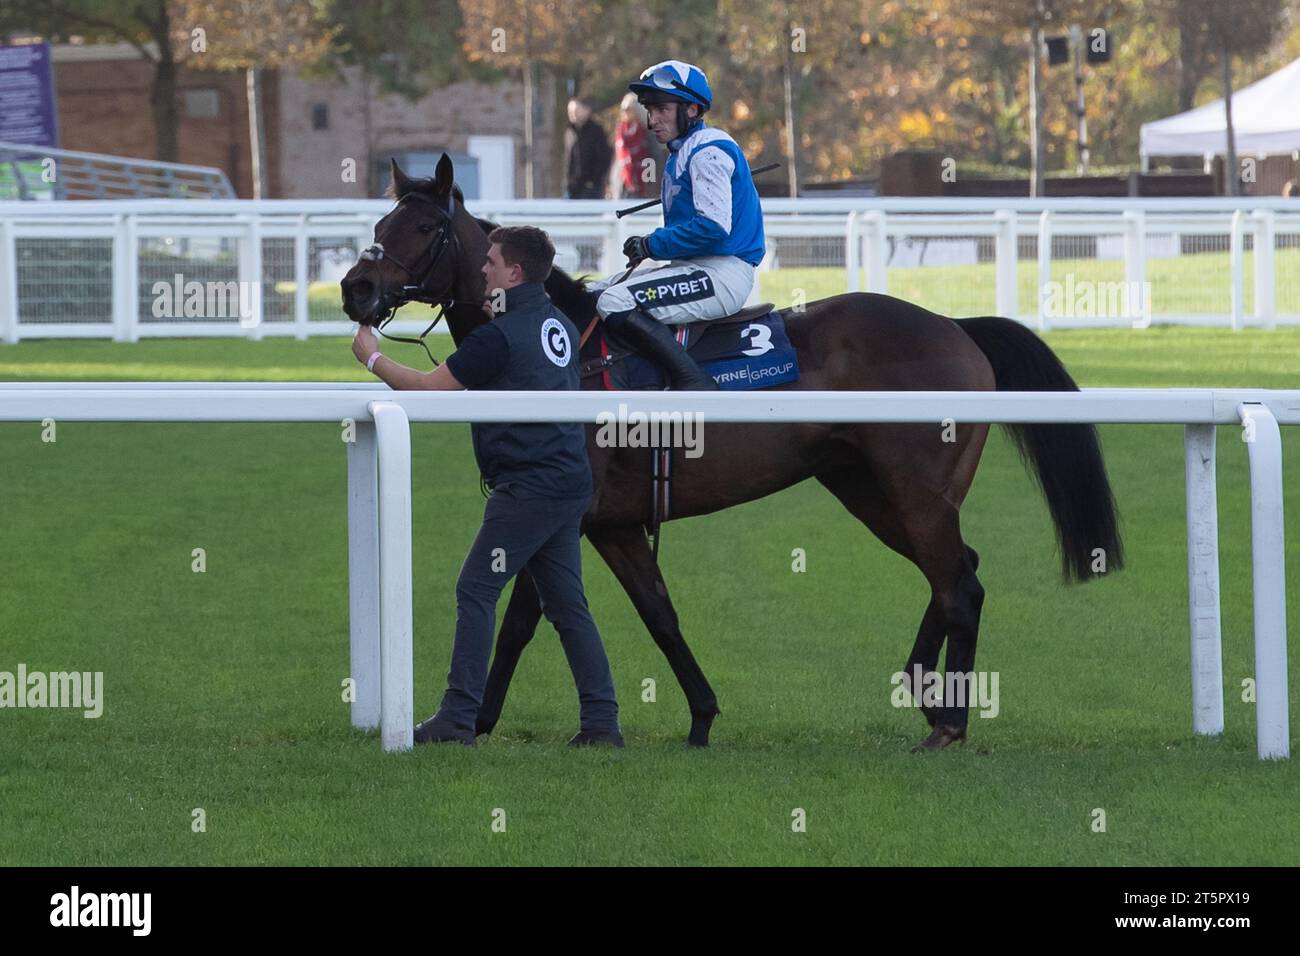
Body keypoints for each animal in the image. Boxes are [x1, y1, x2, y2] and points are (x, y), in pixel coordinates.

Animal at [340, 157, 1123, 749]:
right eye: (378, 226)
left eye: (423, 227)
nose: (356, 288)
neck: (566, 348)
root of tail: (956, 325)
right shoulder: (613, 523)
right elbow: (659, 615)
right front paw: (701, 717)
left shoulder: (564, 511)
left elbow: (520, 622)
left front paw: (471, 721)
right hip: (867, 489)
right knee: (958, 571)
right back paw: (924, 690)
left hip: (912, 492)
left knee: (960, 584)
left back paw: (948, 723)